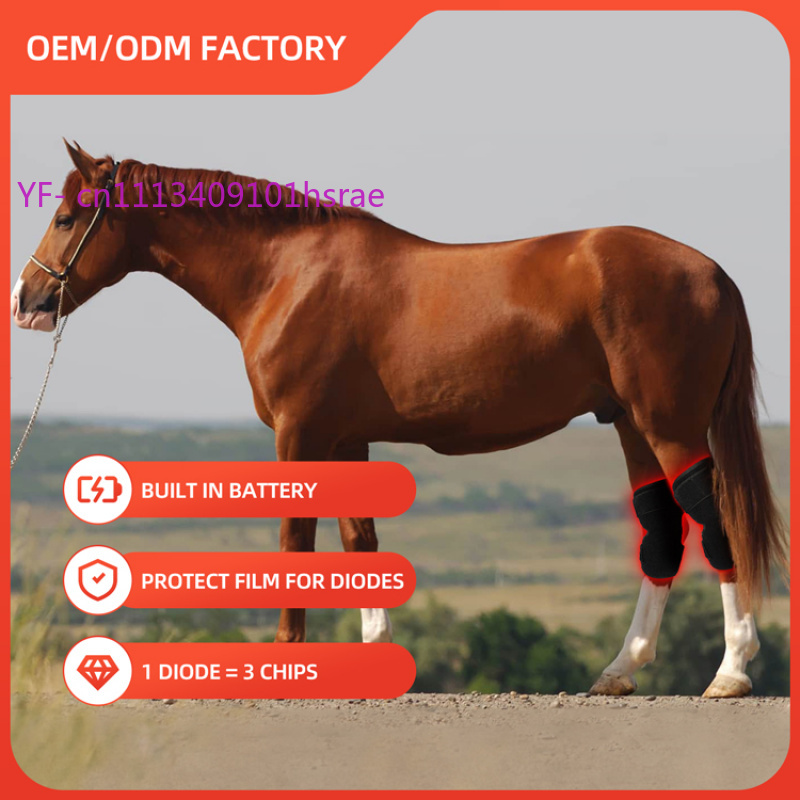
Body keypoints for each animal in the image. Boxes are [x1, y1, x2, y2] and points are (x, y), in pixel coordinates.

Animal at [12, 141, 787, 698]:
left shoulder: (300, 433)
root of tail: (712, 272)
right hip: (629, 425)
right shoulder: (346, 437)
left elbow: (296, 540)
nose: (26, 300)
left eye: (66, 217)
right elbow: (361, 543)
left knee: (713, 518)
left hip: (670, 426)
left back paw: (730, 672)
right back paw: (620, 669)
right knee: (661, 533)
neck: (285, 273)